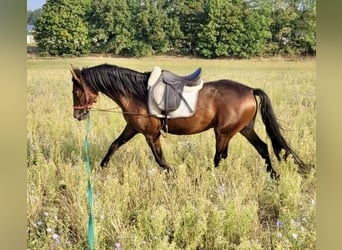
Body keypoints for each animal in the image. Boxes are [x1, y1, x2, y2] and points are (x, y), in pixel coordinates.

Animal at [71, 63, 306, 179]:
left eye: (76, 91)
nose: (77, 115)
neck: (136, 93)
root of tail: (249, 90)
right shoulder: (133, 128)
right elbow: (114, 145)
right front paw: (101, 167)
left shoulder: (150, 135)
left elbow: (160, 160)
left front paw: (173, 175)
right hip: (244, 129)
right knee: (263, 148)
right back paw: (273, 175)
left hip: (223, 132)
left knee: (219, 157)